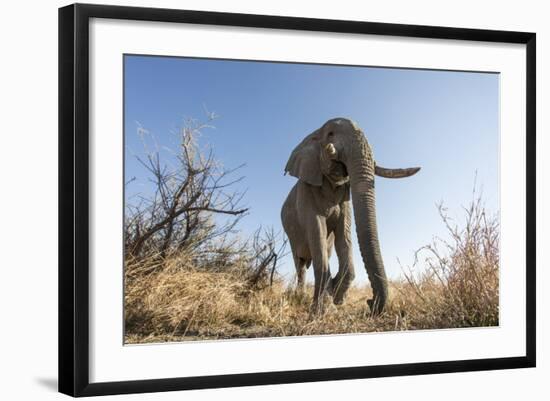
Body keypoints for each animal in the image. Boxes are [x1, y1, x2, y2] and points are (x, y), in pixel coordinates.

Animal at [282, 117, 420, 314]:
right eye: (330, 134)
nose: (370, 302)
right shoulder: (306, 192)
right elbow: (317, 231)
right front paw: (324, 310)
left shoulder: (344, 198)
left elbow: (344, 234)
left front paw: (337, 298)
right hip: (292, 237)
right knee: (300, 264)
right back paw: (299, 297)